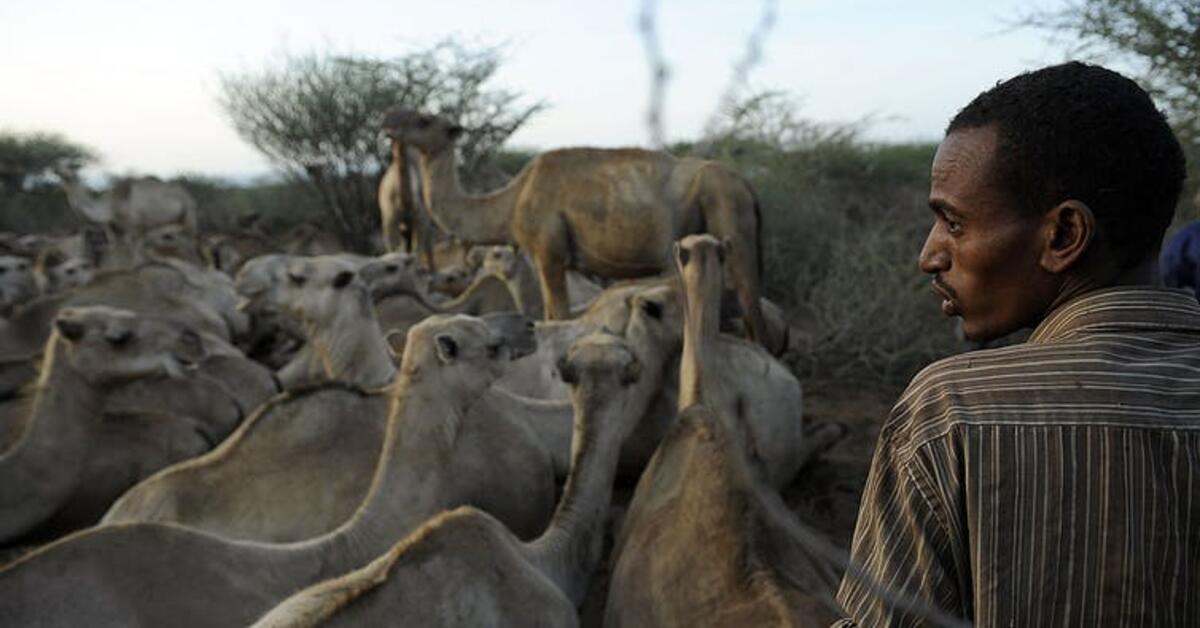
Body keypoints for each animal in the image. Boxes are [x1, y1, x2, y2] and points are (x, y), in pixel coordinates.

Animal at [384, 109, 780, 354]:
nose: (389, 120)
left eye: (424, 119)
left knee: (751, 304)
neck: (511, 202)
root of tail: (747, 185)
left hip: (730, 214)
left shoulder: (549, 253)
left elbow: (556, 313)